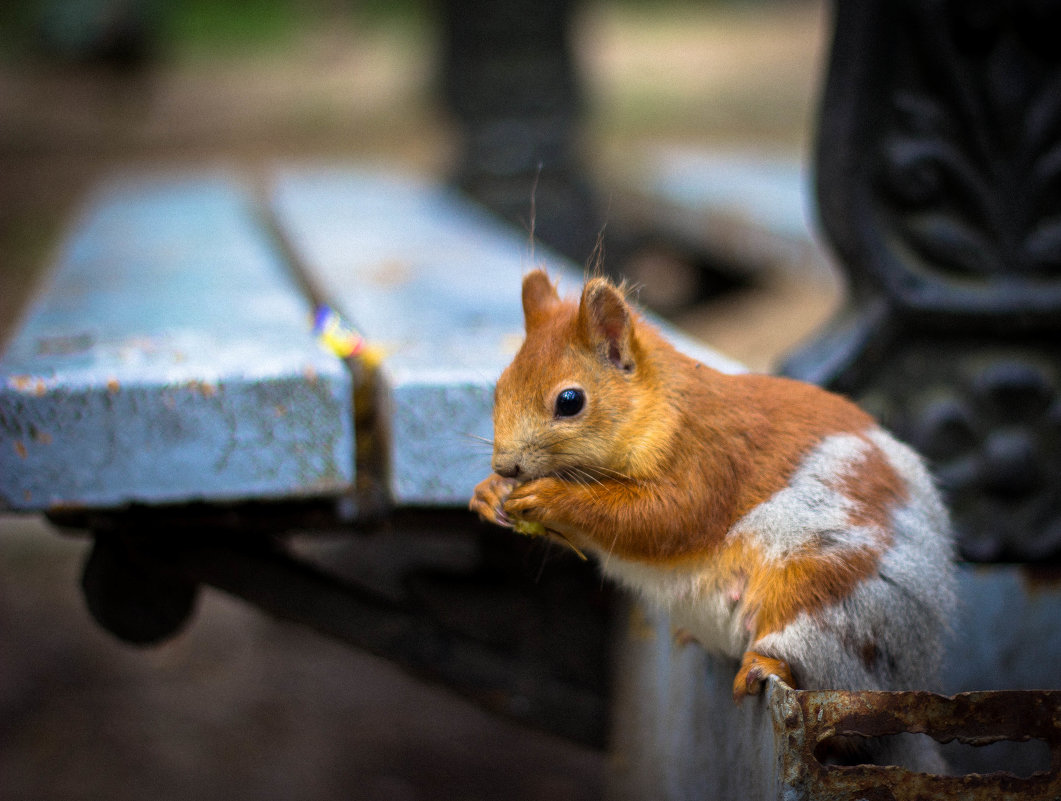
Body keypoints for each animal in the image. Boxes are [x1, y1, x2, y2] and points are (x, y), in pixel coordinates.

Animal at [468, 269, 959, 759]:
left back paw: (764, 665)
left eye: (570, 401)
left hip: (826, 599)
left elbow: (661, 520)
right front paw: (489, 493)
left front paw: (550, 495)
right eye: (500, 387)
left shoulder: (708, 459)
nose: (505, 466)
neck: (660, 409)